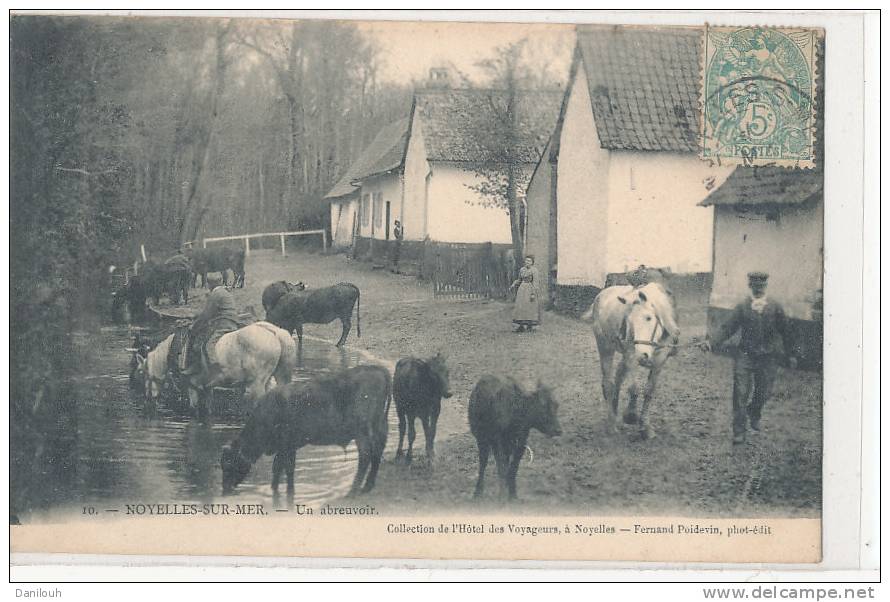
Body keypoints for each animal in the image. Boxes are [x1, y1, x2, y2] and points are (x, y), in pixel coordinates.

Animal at [219, 364, 388, 494]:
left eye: (228, 463)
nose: (225, 489)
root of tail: (377, 369)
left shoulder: (286, 446)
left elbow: (284, 468)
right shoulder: (288, 447)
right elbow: (281, 469)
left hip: (361, 432)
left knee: (366, 456)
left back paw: (352, 492)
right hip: (378, 427)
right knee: (377, 453)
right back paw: (367, 487)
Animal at [580, 282, 676, 436]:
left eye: (649, 318)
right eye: (630, 322)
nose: (642, 355)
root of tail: (601, 294)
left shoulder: (660, 361)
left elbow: (649, 391)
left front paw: (645, 426)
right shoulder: (631, 356)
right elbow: (633, 387)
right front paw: (630, 415)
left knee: (618, 377)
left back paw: (614, 409)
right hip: (605, 346)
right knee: (609, 383)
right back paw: (611, 423)